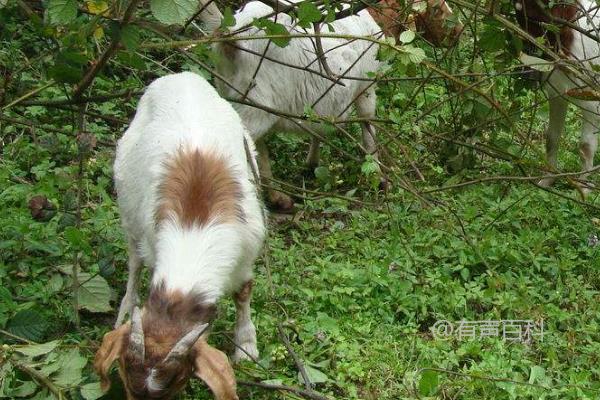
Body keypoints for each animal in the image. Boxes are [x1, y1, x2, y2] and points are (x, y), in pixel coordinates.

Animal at [94, 72, 264, 400]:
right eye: (124, 377)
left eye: (177, 382)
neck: (195, 227)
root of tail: (182, 75)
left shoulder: (248, 251)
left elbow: (243, 292)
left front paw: (246, 346)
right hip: (128, 208)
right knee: (134, 262)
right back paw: (125, 307)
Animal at [512, 0, 596, 194]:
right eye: (520, 16)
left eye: (533, 18)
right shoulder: (557, 90)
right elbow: (551, 137)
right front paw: (547, 180)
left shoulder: (592, 97)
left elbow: (585, 147)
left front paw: (584, 190)